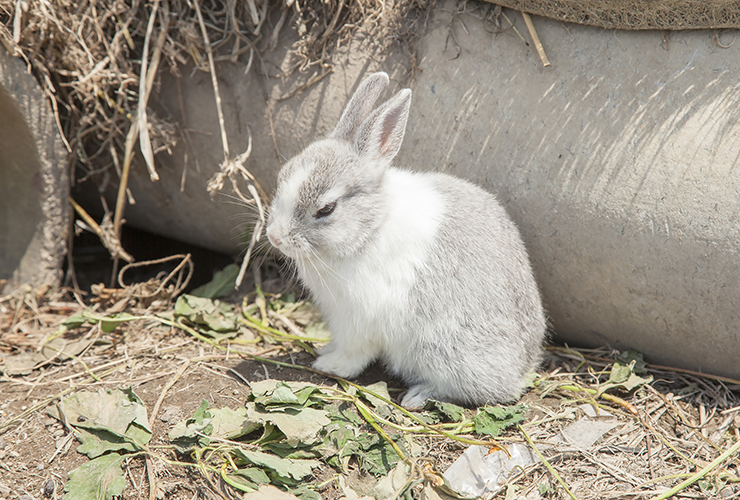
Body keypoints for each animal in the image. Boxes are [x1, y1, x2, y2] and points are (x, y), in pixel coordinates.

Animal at [264, 72, 544, 408]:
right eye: (281, 176)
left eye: (326, 209)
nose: (275, 236)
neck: (371, 227)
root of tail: (523, 367)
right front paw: (323, 350)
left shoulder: (359, 320)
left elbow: (355, 353)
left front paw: (329, 364)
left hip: (441, 349)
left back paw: (418, 396)